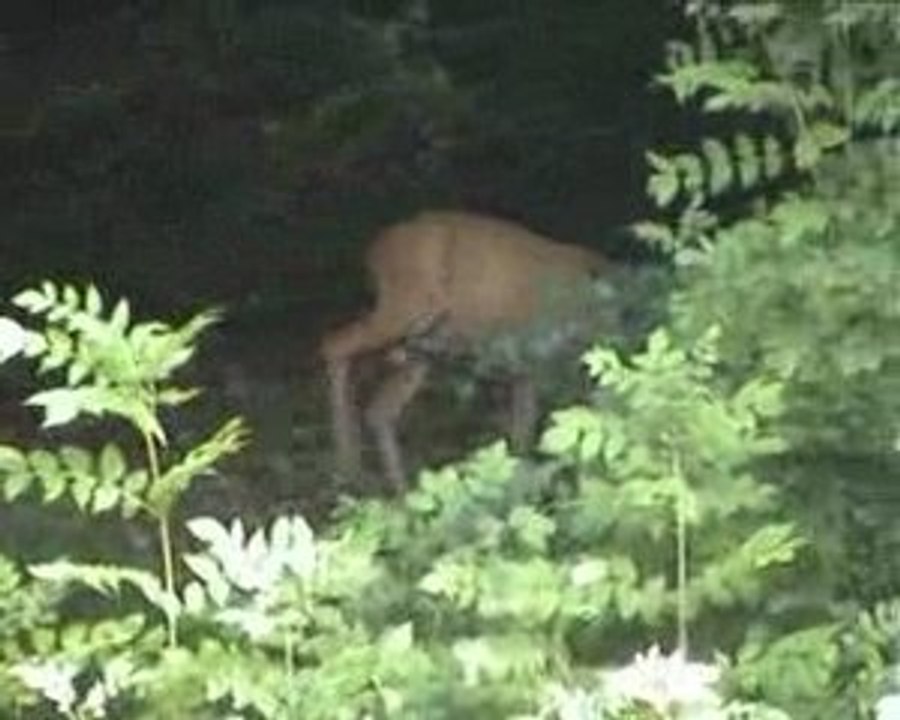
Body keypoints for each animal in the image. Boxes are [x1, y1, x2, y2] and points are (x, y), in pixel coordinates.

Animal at [319, 210, 613, 491]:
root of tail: (374, 250)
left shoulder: (527, 368)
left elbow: (524, 429)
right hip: (405, 307)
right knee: (335, 345)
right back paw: (349, 470)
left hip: (421, 345)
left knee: (380, 408)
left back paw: (398, 488)